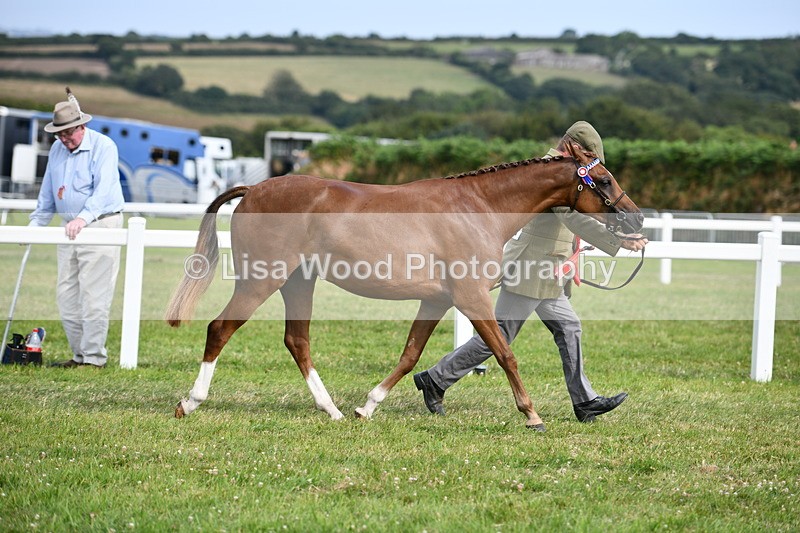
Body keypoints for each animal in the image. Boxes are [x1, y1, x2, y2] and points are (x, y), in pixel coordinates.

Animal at [165, 142, 644, 431]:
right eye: (603, 179)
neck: (478, 208)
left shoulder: (436, 300)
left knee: (296, 341)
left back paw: (333, 410)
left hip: (298, 282)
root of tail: (254, 189)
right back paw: (190, 402)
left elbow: (411, 353)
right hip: (263, 279)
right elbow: (504, 352)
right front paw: (531, 415)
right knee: (221, 329)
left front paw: (368, 405)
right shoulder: (469, 297)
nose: (637, 220)